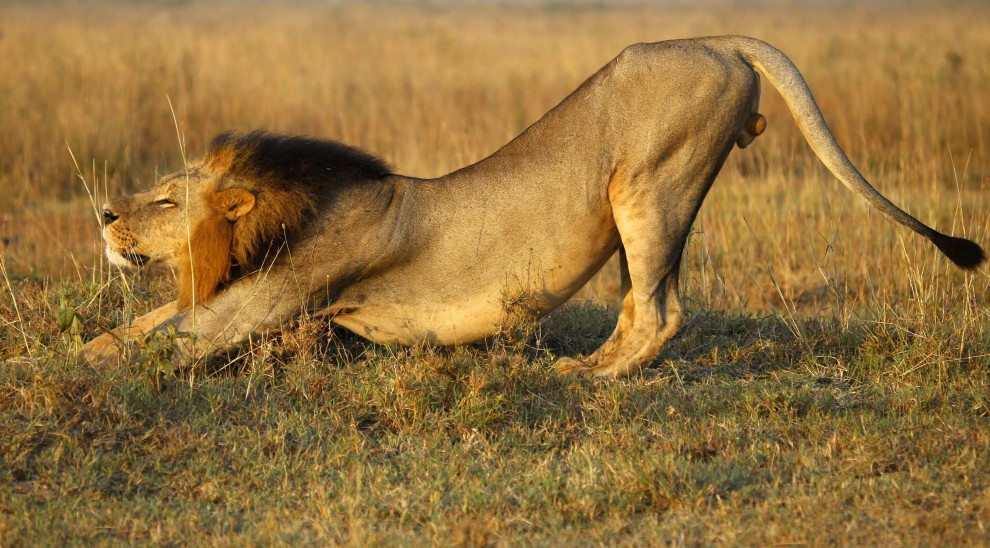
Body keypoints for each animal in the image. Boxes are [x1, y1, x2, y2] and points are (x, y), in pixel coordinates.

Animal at [81, 36, 985, 377]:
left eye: (163, 198)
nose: (103, 217)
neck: (285, 207)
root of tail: (721, 38)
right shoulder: (245, 300)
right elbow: (138, 324)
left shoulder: (260, 307)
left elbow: (145, 342)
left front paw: (55, 366)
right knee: (641, 303)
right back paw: (585, 366)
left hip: (645, 181)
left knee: (663, 313)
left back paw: (592, 379)